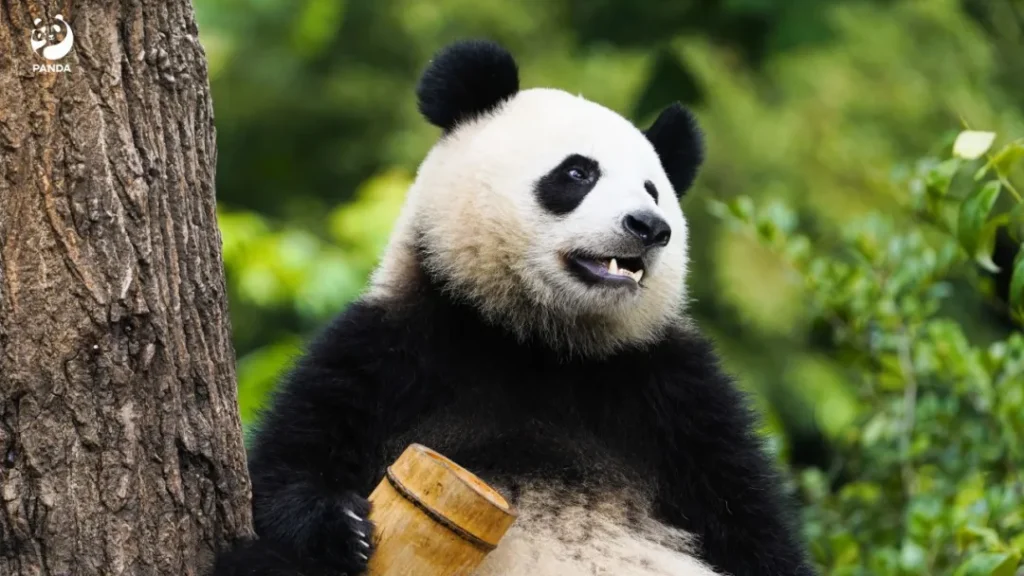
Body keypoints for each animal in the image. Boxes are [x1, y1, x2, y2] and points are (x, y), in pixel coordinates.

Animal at [213, 40, 816, 576]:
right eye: (578, 172)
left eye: (653, 189)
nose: (649, 227)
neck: (538, 340)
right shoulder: (393, 346)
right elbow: (289, 462)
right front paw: (343, 528)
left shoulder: (674, 393)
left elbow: (750, 523)